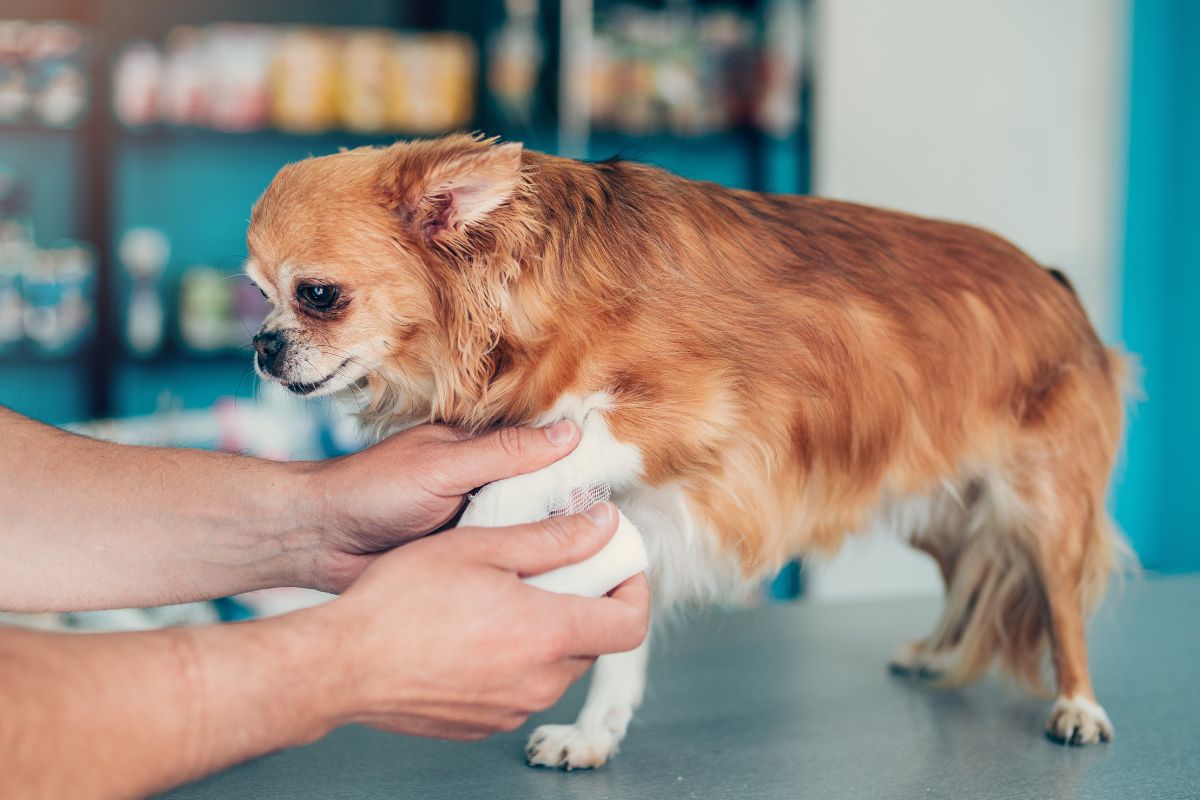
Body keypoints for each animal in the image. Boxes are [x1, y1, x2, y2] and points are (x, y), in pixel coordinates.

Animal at [248, 134, 1128, 767]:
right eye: (256, 296)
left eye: (318, 296)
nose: (261, 347)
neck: (528, 293)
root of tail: (1056, 284)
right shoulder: (637, 510)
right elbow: (622, 643)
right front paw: (596, 733)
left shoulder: (695, 413)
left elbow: (546, 463)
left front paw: (482, 539)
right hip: (934, 503)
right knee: (967, 569)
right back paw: (937, 651)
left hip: (1040, 502)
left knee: (1059, 602)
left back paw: (1079, 704)